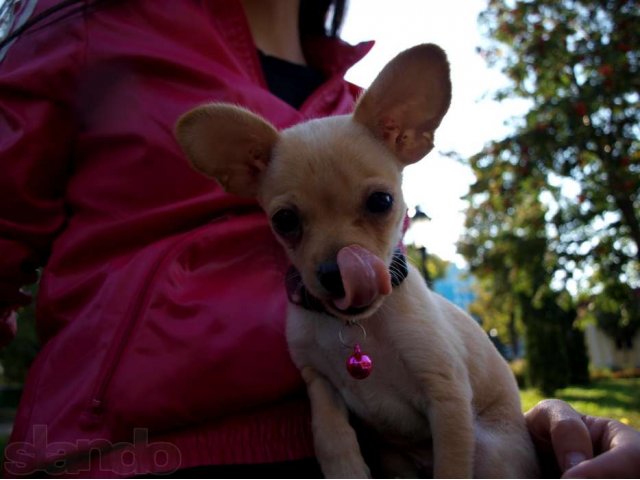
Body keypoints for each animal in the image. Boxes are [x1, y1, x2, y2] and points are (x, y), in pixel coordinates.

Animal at [176, 44, 540, 476]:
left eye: (382, 202)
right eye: (285, 221)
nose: (339, 273)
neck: (357, 330)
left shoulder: (446, 396)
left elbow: (451, 466)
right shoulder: (319, 383)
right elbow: (330, 437)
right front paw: (346, 467)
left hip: (488, 448)